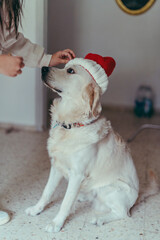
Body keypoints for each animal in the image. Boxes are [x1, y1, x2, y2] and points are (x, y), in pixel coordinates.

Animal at [25, 54, 139, 232]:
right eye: (65, 66)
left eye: (70, 71)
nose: (43, 68)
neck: (71, 125)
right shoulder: (56, 166)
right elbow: (47, 191)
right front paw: (37, 209)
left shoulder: (77, 174)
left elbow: (65, 203)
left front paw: (56, 223)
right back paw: (83, 197)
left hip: (109, 189)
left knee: (123, 213)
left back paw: (100, 219)